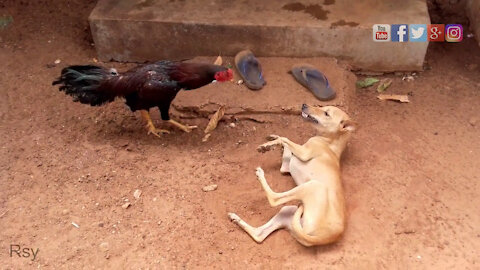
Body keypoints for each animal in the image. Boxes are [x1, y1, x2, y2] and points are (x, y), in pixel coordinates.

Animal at [229, 104, 356, 247]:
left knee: (274, 199)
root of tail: (328, 237)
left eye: (326, 113)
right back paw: (236, 219)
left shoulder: (304, 152)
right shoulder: (286, 166)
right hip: (288, 212)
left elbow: (285, 139)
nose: (304, 105)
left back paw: (260, 175)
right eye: (323, 107)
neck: (330, 142)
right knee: (259, 235)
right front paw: (271, 141)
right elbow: (285, 142)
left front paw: (268, 145)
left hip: (312, 186)